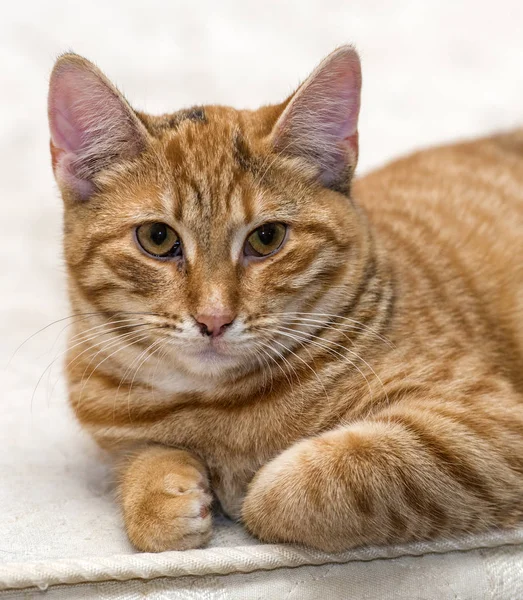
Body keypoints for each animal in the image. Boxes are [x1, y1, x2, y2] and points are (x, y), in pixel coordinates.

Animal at [48, 47, 523, 552]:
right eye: (157, 238)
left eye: (267, 238)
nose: (214, 318)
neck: (215, 406)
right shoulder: (116, 431)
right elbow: (143, 464)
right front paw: (156, 494)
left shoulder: (484, 423)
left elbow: (302, 488)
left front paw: (250, 489)